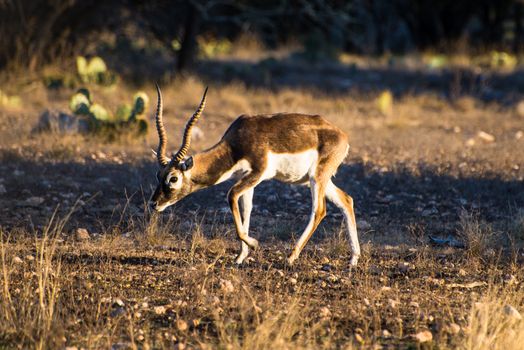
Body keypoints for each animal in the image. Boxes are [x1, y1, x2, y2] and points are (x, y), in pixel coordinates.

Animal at [148, 85, 360, 266]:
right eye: (158, 175)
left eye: (173, 178)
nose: (153, 204)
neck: (235, 146)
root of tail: (343, 136)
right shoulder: (245, 178)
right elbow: (246, 209)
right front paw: (241, 256)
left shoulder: (258, 173)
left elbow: (231, 195)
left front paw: (254, 244)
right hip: (316, 179)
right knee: (346, 200)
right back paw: (353, 259)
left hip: (317, 177)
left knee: (319, 210)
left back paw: (291, 257)